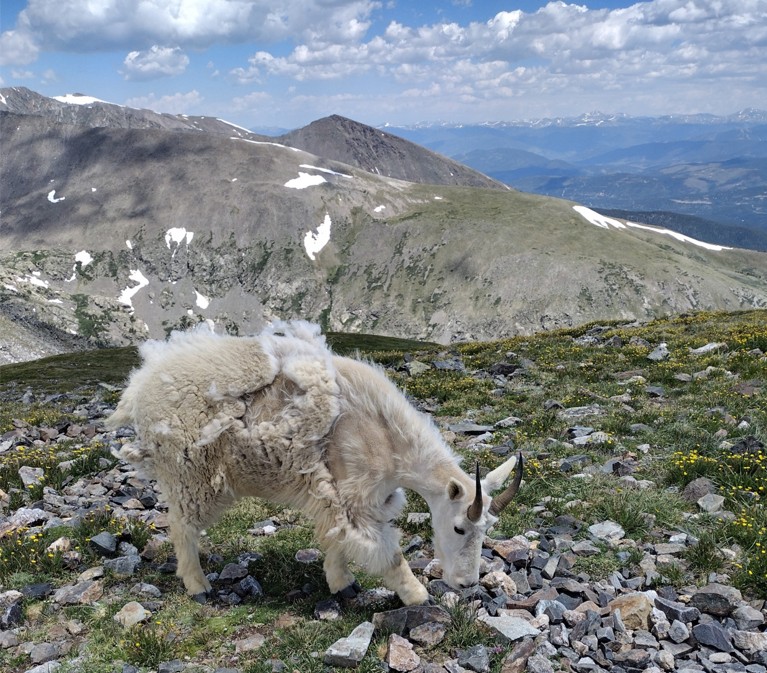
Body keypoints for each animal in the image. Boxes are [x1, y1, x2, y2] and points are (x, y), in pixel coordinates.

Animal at [106, 321, 522, 605]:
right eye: (457, 528)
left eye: (487, 531)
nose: (467, 584)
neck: (385, 436)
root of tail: (139, 387)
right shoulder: (357, 494)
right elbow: (388, 554)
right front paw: (418, 595)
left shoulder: (345, 496)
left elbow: (336, 538)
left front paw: (342, 584)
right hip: (189, 471)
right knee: (181, 526)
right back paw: (198, 586)